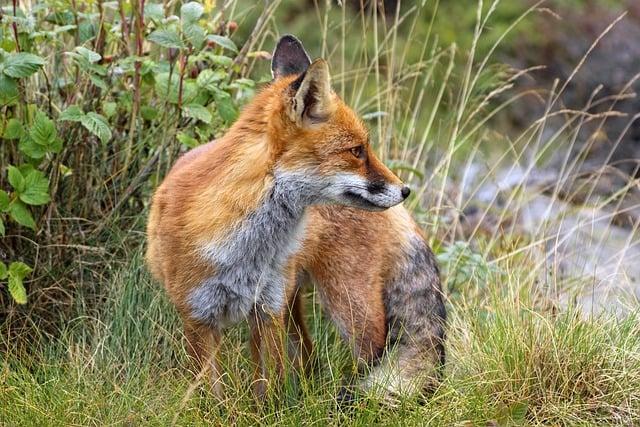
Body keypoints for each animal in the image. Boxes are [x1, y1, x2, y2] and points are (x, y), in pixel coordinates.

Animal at [146, 34, 444, 402]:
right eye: (357, 151)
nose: (405, 190)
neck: (246, 248)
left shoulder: (266, 309)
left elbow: (267, 390)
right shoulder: (198, 317)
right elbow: (212, 395)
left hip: (347, 306)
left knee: (365, 355)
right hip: (298, 304)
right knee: (308, 353)